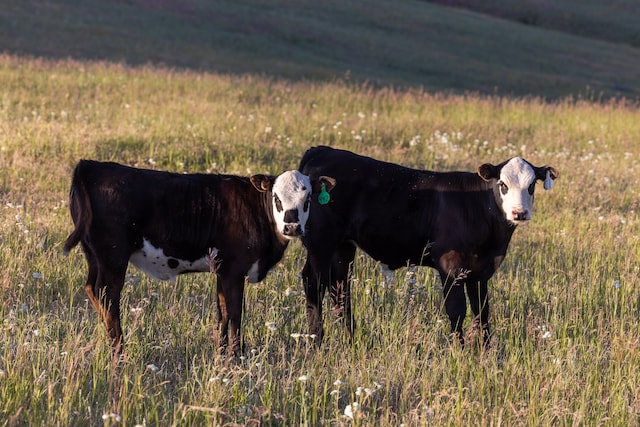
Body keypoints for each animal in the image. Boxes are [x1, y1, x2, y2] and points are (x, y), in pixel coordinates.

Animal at [62, 159, 338, 356]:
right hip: (113, 257)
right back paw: (119, 351)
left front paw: (222, 351)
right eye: (276, 198)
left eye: (308, 198)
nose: (292, 227)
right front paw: (236, 354)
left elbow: (222, 311)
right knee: (108, 296)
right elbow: (235, 311)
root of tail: (92, 165)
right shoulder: (235, 269)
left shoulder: (223, 270)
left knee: (93, 289)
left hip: (94, 256)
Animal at [298, 147, 556, 348]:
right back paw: (317, 341)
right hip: (320, 243)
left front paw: (486, 351)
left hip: (343, 245)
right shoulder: (450, 266)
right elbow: (457, 310)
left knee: (340, 287)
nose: (519, 213)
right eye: (502, 184)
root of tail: (323, 151)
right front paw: (459, 352)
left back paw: (351, 339)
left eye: (531, 185)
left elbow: (482, 311)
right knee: (314, 282)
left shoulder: (480, 271)